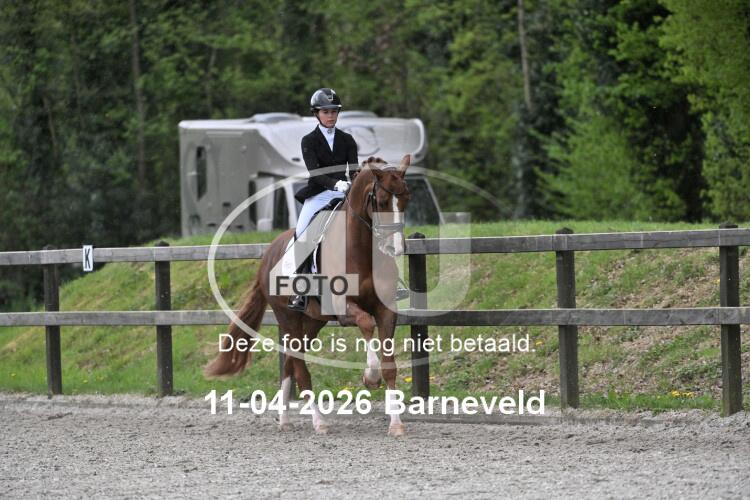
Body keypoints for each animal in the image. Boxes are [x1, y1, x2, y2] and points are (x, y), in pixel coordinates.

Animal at [204, 154, 412, 436]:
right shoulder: (345, 309)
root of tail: (268, 255)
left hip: (313, 321)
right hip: (288, 317)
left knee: (291, 362)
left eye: (406, 199)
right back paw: (318, 422)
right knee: (300, 369)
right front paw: (370, 376)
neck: (362, 249)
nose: (395, 248)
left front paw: (396, 424)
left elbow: (390, 366)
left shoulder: (386, 309)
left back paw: (284, 419)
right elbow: (366, 323)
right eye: (380, 202)